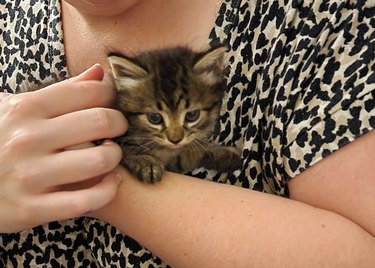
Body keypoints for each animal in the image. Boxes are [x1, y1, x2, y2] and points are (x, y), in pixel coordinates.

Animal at [108, 46, 241, 184]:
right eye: (154, 118)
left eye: (192, 115)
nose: (175, 140)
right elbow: (125, 146)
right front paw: (146, 162)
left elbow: (188, 154)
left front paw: (221, 154)